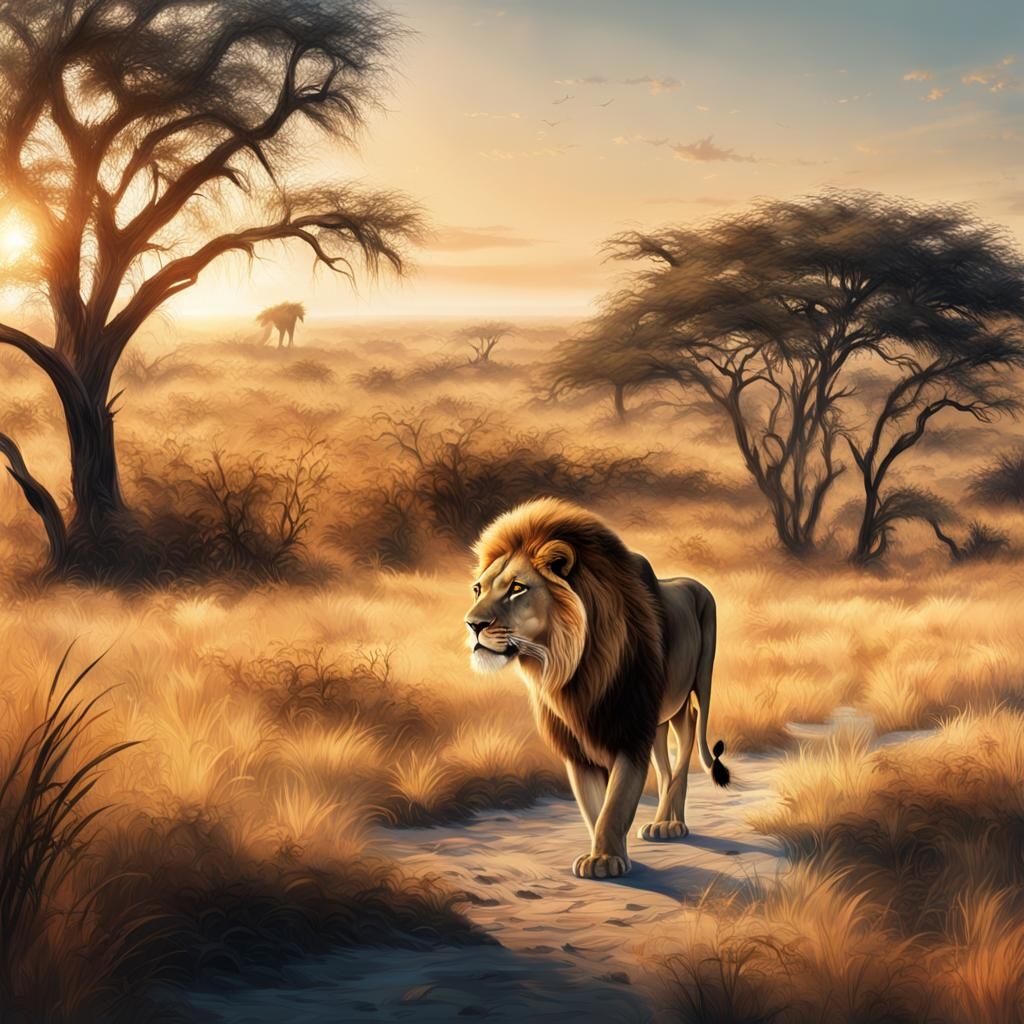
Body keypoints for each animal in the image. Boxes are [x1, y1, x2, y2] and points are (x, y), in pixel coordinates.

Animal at [465, 497, 729, 880]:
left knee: (689, 739)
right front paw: (605, 855)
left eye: (517, 588)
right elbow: (594, 805)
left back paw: (671, 825)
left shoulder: (630, 733)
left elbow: (616, 802)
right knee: (667, 766)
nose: (472, 624)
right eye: (478, 588)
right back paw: (663, 823)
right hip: (660, 717)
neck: (572, 670)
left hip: (699, 685)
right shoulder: (578, 747)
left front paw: (605, 860)